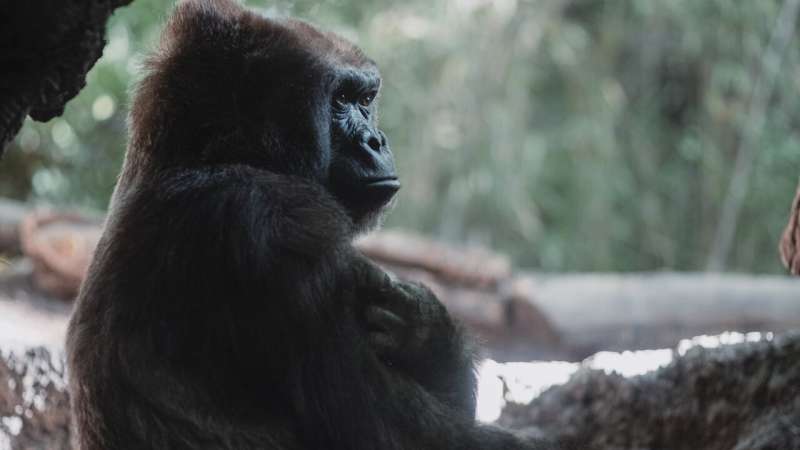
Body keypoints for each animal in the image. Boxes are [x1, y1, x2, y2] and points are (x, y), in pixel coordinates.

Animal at [66, 1, 555, 448]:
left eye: (366, 100)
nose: (377, 141)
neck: (199, 155)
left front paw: (422, 333)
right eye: (341, 100)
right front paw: (435, 341)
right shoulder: (280, 223)